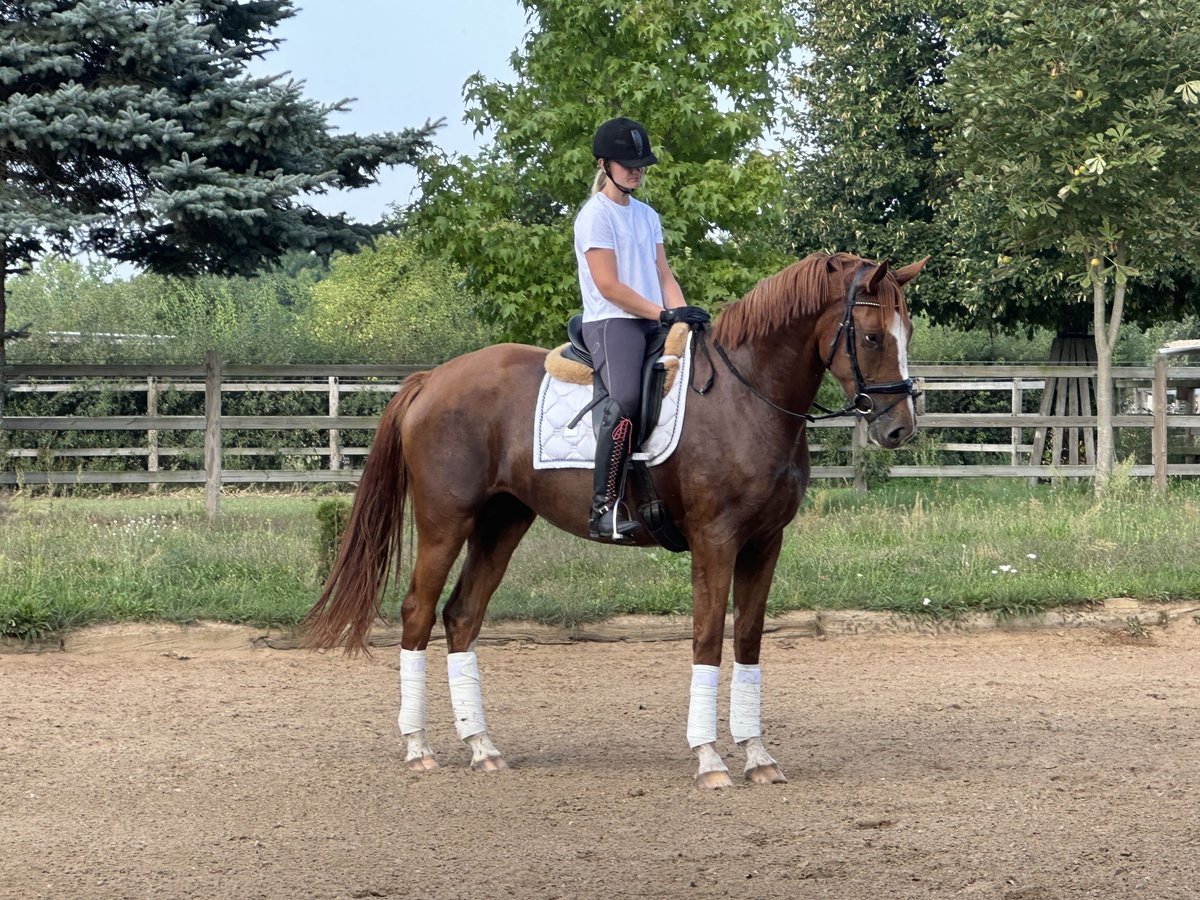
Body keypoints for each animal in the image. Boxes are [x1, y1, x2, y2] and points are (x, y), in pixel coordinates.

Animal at [304, 252, 921, 787]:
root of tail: (431, 380)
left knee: (461, 616)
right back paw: (418, 748)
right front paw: (709, 760)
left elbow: (747, 640)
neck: (746, 398)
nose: (899, 429)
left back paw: (481, 747)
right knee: (418, 612)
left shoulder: (765, 542)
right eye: (871, 336)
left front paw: (757, 755)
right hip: (445, 521)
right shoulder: (715, 540)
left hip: (503, 522)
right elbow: (706, 639)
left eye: (907, 333)